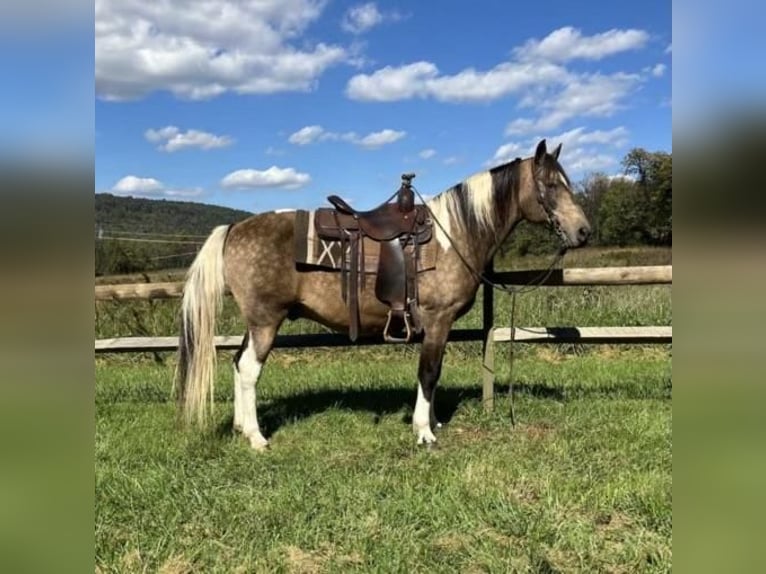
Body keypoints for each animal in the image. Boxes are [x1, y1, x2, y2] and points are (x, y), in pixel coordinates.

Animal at [176, 140, 592, 450]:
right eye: (551, 185)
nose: (584, 231)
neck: (454, 233)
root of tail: (233, 228)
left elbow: (434, 375)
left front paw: (434, 422)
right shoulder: (438, 321)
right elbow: (429, 372)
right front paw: (423, 431)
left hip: (256, 322)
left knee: (237, 364)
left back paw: (240, 427)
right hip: (266, 320)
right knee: (249, 369)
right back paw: (257, 437)